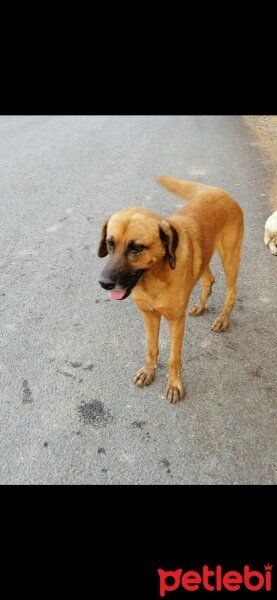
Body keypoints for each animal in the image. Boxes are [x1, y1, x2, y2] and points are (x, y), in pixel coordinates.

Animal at [98, 178, 243, 404]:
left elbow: (174, 357)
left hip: (230, 259)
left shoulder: (176, 321)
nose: (104, 283)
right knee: (209, 279)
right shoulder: (149, 315)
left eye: (136, 248)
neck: (154, 278)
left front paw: (174, 385)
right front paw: (149, 371)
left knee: (231, 290)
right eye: (109, 243)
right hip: (205, 256)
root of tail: (219, 192)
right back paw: (201, 305)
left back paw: (223, 319)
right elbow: (151, 347)